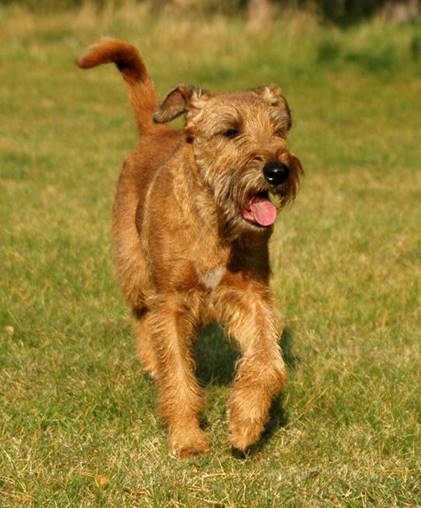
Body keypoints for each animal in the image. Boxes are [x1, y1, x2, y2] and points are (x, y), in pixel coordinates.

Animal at [77, 39, 302, 458]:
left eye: (279, 130)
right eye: (231, 131)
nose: (277, 171)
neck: (213, 223)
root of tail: (153, 131)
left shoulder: (251, 295)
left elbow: (266, 361)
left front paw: (246, 422)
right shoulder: (170, 301)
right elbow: (178, 375)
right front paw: (188, 439)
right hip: (133, 266)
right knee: (140, 316)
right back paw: (151, 361)